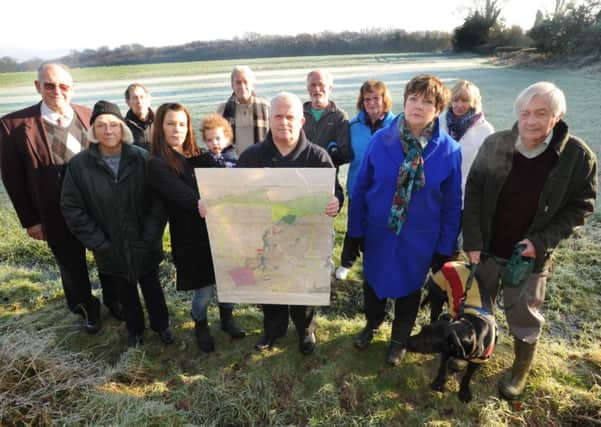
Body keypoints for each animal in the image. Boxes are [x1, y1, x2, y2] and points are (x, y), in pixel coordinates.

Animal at [408, 260, 496, 404]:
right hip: (438, 295)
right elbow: (443, 368)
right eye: (422, 330)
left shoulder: (477, 359)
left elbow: (468, 376)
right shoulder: (446, 351)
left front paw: (464, 392)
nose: (405, 341)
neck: (470, 329)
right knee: (434, 312)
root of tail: (453, 261)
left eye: (427, 341)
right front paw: (438, 384)